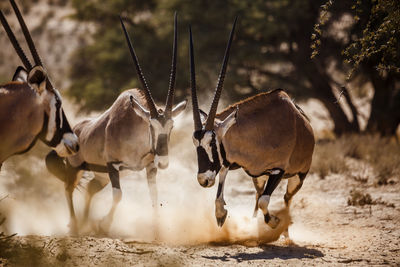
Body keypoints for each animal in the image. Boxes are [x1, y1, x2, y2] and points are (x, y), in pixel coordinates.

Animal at [45, 13, 188, 234]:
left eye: (171, 126)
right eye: (151, 126)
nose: (164, 162)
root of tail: (76, 130)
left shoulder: (150, 167)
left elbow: (154, 195)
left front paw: (157, 230)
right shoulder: (112, 165)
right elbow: (118, 195)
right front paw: (104, 224)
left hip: (100, 176)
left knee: (90, 189)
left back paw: (85, 223)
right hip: (77, 167)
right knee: (68, 188)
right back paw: (75, 225)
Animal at [189, 18, 314, 228]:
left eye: (212, 143)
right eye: (195, 144)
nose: (203, 180)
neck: (261, 131)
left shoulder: (278, 170)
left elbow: (265, 201)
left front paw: (274, 221)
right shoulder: (232, 163)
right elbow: (221, 195)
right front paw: (221, 214)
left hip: (297, 177)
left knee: (286, 199)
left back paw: (284, 227)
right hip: (259, 177)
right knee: (257, 195)